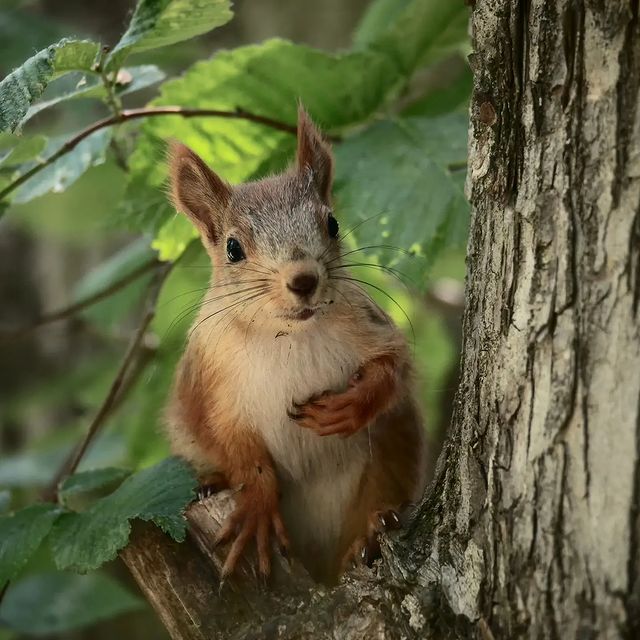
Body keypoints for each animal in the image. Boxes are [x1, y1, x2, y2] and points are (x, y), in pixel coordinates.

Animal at [165, 105, 426, 584]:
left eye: (332, 223)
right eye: (233, 248)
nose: (303, 279)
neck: (287, 336)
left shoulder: (371, 326)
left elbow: (393, 368)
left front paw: (352, 406)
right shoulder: (208, 380)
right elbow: (230, 443)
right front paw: (256, 507)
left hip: (382, 466)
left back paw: (370, 532)